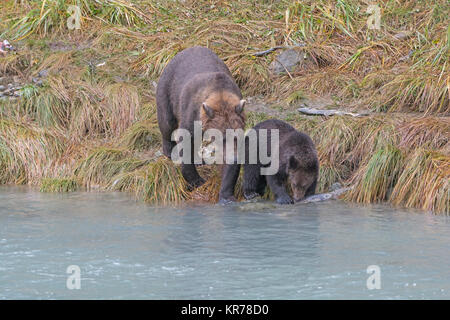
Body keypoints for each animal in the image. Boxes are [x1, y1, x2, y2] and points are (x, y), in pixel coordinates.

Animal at [156, 46, 246, 204]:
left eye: (237, 136)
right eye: (222, 137)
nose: (233, 158)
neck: (219, 93)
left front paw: (227, 195)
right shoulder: (191, 113)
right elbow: (185, 141)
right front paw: (197, 181)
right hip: (168, 89)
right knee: (167, 122)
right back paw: (169, 151)